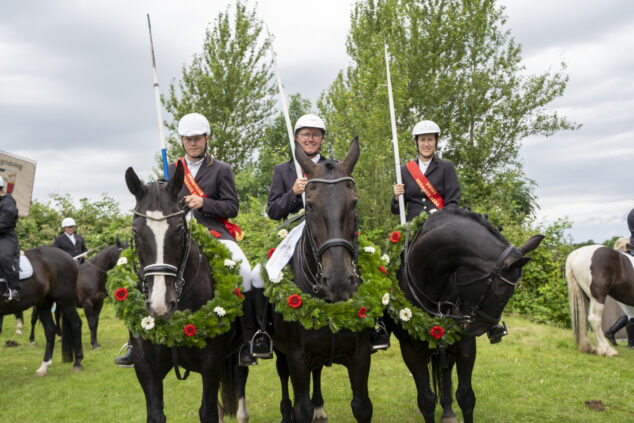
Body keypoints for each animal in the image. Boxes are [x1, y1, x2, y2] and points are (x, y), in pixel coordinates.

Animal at [0, 247, 83, 376]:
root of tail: (69, 257)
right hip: (43, 304)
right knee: (50, 330)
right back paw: (44, 366)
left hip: (66, 301)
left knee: (76, 324)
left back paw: (77, 363)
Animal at [123, 164, 244, 422]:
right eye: (136, 233)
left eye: (179, 229)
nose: (160, 306)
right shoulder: (146, 368)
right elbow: (155, 414)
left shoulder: (211, 364)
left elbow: (208, 411)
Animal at [270, 137, 370, 422]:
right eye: (310, 205)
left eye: (354, 202)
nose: (339, 282)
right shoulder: (297, 358)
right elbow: (300, 409)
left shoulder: (360, 355)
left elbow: (362, 406)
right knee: (282, 376)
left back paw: (319, 406)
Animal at [382, 210, 540, 423]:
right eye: (501, 293)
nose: (476, 328)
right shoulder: (411, 351)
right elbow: (426, 400)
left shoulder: (465, 345)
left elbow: (466, 397)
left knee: (445, 372)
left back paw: (448, 410)